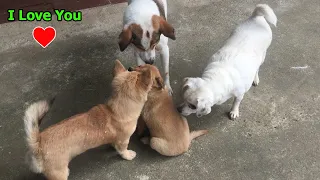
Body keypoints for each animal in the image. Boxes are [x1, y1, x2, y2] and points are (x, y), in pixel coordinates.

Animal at [23, 59, 152, 179]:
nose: (132, 67)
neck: (114, 110)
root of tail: (37, 144)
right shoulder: (123, 140)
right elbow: (123, 150)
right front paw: (128, 155)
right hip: (59, 173)